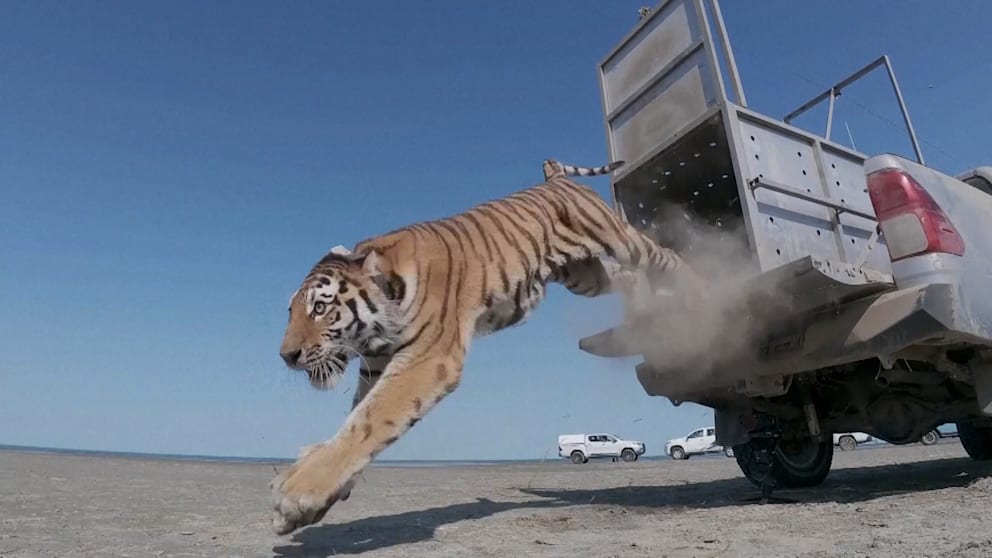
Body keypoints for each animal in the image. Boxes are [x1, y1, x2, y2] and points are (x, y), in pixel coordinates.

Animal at [271, 157, 701, 535]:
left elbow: (371, 420)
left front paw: (296, 492)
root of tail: (554, 178)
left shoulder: (429, 359)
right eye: (291, 310)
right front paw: (315, 501)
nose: (286, 356)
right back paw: (648, 307)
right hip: (585, 275)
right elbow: (356, 421)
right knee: (628, 277)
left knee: (662, 257)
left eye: (320, 308)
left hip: (617, 238)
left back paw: (704, 284)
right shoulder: (376, 366)